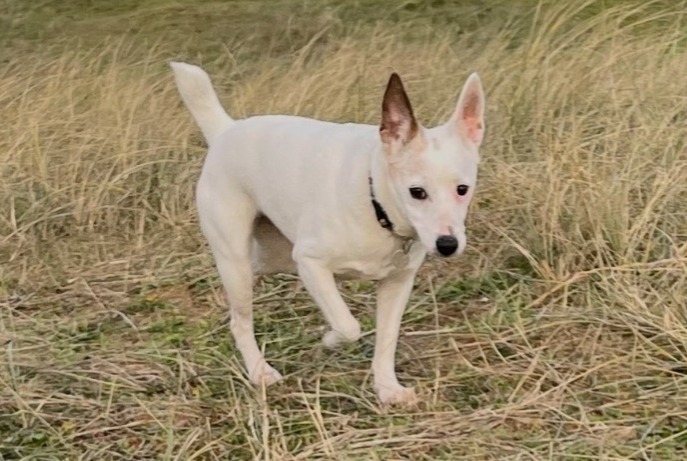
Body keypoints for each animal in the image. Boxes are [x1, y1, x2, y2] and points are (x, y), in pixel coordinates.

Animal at [171, 61, 484, 402]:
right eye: (417, 192)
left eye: (463, 189)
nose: (447, 244)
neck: (376, 200)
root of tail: (226, 131)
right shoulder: (311, 263)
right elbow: (348, 325)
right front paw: (331, 339)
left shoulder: (397, 284)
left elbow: (387, 338)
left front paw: (387, 388)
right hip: (238, 262)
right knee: (240, 322)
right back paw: (259, 372)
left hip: (274, 256)